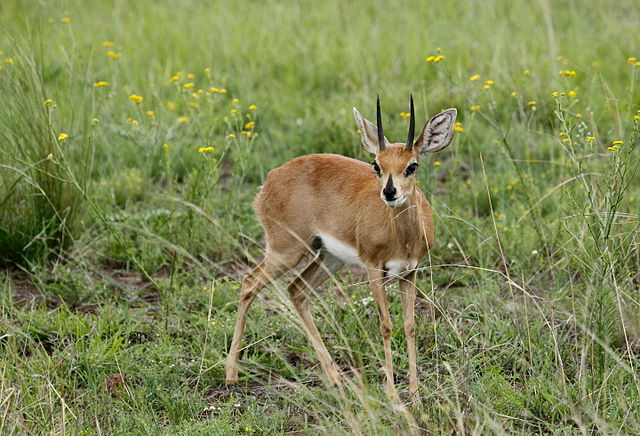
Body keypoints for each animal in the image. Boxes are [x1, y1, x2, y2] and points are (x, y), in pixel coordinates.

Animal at [225, 96, 456, 406]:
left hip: (328, 257)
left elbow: (410, 326)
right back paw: (231, 375)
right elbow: (386, 326)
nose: (389, 192)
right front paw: (393, 396)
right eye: (376, 165)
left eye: (412, 166)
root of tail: (270, 180)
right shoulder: (374, 269)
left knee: (297, 290)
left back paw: (336, 379)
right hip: (286, 250)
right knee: (249, 283)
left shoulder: (410, 272)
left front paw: (417, 397)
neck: (402, 237)